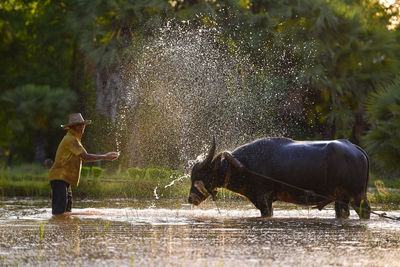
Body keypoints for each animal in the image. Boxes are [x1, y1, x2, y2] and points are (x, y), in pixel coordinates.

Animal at [189, 138, 370, 220]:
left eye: (203, 174)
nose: (191, 198)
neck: (244, 164)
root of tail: (356, 149)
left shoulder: (264, 199)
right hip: (341, 199)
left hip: (357, 197)